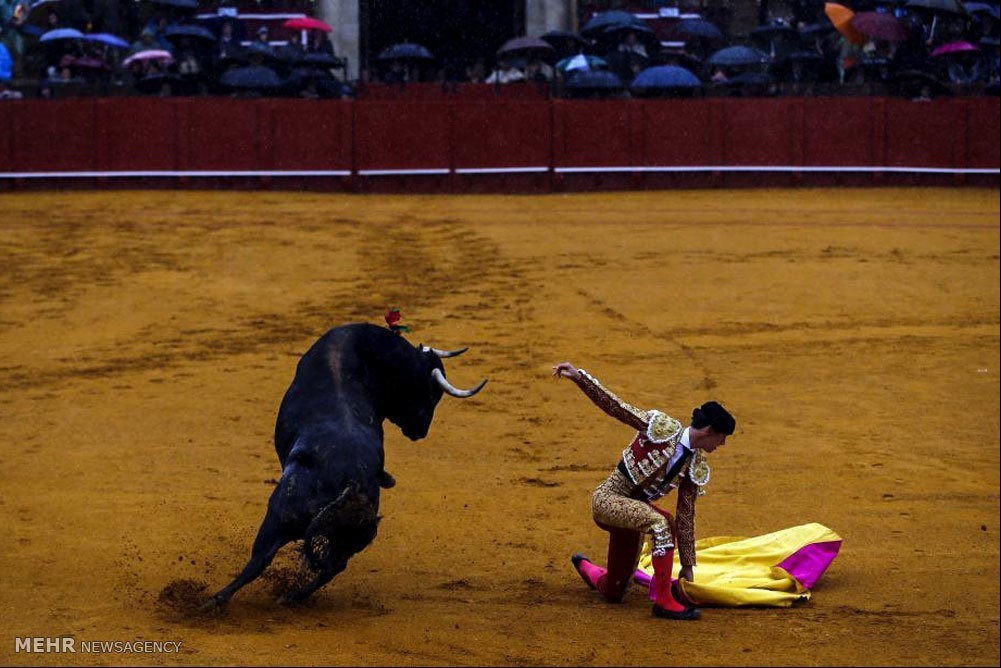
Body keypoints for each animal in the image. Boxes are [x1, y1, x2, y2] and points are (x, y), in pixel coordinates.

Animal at [200, 322, 486, 610]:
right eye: (429, 392)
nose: (420, 431)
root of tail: (352, 481)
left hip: (279, 513)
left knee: (260, 559)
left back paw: (214, 601)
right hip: (349, 537)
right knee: (333, 566)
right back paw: (291, 597)